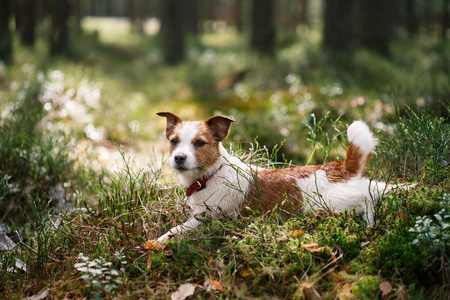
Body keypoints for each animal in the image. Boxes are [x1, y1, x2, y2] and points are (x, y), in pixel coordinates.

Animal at [155, 112, 386, 241]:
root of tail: (340, 168)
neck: (212, 173)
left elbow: (177, 229)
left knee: (365, 200)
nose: (179, 158)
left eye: (200, 143)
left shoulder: (207, 217)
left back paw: (369, 222)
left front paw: (159, 241)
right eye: (174, 141)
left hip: (332, 204)